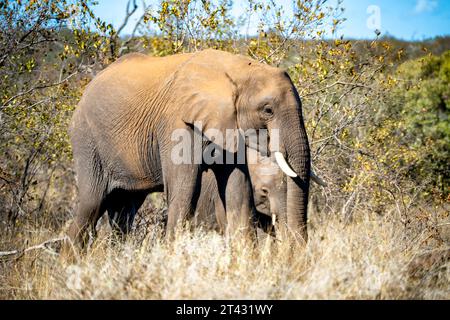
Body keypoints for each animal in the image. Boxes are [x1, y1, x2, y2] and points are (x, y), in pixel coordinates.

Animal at [68, 48, 312, 246]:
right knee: (91, 205)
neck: (237, 69)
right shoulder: (176, 122)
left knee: (124, 212)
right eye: (268, 110)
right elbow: (185, 190)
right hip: (86, 140)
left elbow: (238, 192)